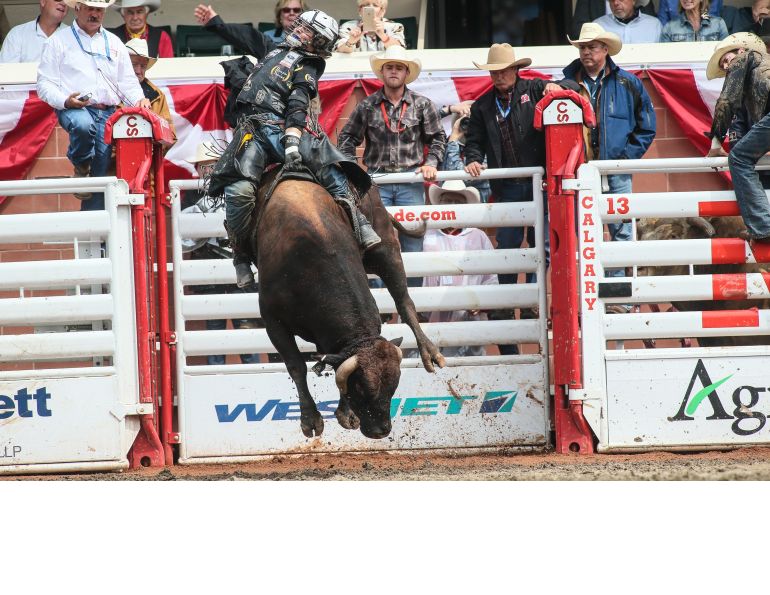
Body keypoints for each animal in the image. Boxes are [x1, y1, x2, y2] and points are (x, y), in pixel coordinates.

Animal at [250, 170, 445, 439]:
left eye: (393, 387)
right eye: (361, 389)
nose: (381, 430)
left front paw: (345, 413)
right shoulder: (273, 323)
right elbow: (298, 366)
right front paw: (311, 419)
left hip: (385, 248)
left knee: (405, 303)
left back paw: (429, 352)